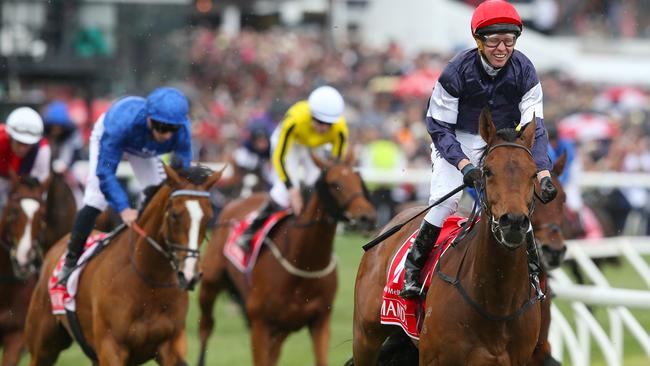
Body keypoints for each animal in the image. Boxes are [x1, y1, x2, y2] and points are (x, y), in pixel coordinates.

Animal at [24, 166, 221, 366]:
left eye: (208, 217)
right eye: (174, 215)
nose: (190, 275)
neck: (148, 281)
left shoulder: (171, 344)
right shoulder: (111, 348)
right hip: (43, 347)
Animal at [199, 154, 374, 366]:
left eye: (359, 179)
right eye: (335, 184)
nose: (367, 217)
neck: (303, 263)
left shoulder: (320, 321)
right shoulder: (260, 324)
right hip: (210, 283)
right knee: (206, 327)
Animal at [352, 111, 540, 366]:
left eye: (534, 173)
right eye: (488, 171)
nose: (513, 222)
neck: (496, 303)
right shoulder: (433, 358)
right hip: (365, 336)